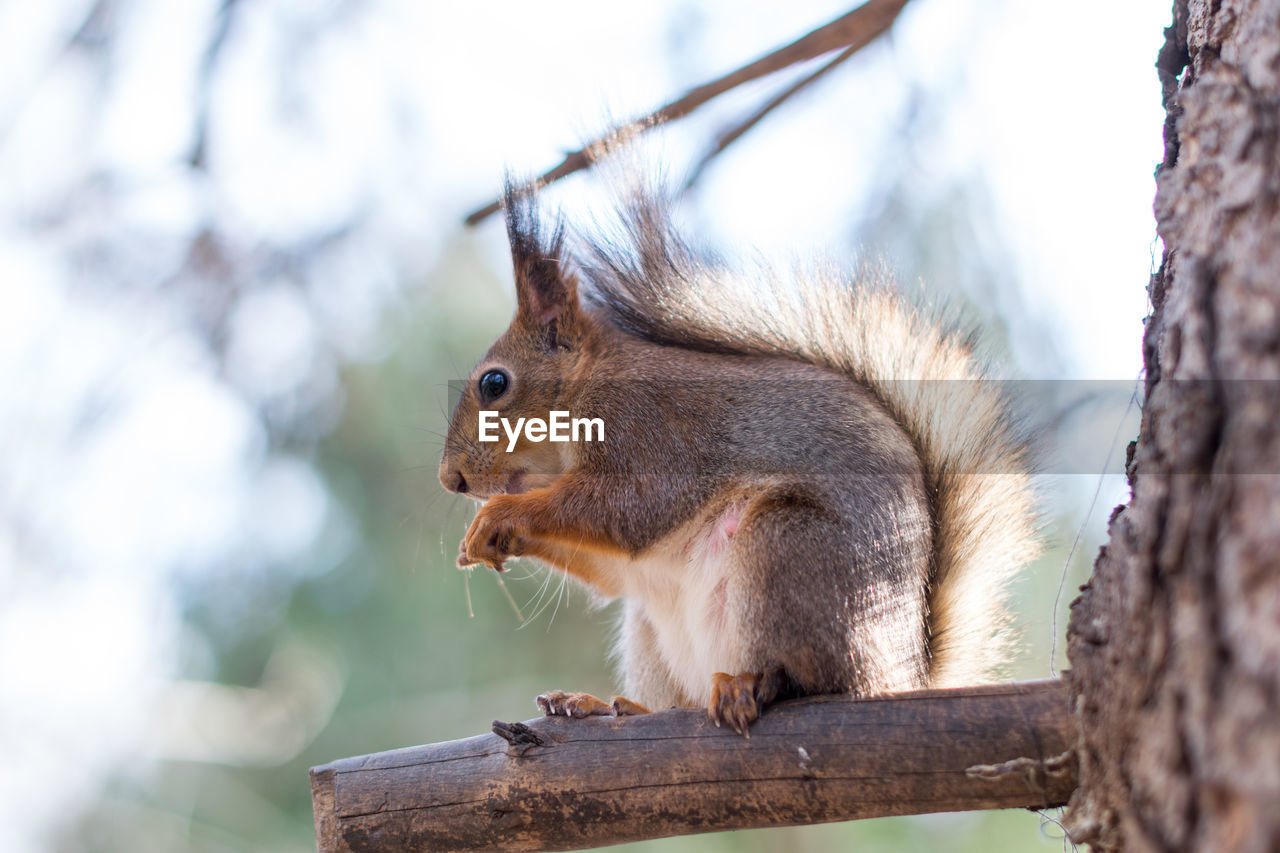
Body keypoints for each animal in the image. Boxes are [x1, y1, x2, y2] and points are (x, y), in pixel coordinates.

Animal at [440, 178, 1039, 732]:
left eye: (494, 383)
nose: (452, 480)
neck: (586, 386)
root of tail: (897, 670)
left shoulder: (653, 426)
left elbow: (632, 508)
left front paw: (499, 517)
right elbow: (610, 569)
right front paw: (480, 541)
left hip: (787, 551)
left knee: (817, 677)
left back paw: (757, 684)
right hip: (653, 629)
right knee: (671, 695)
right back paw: (608, 705)